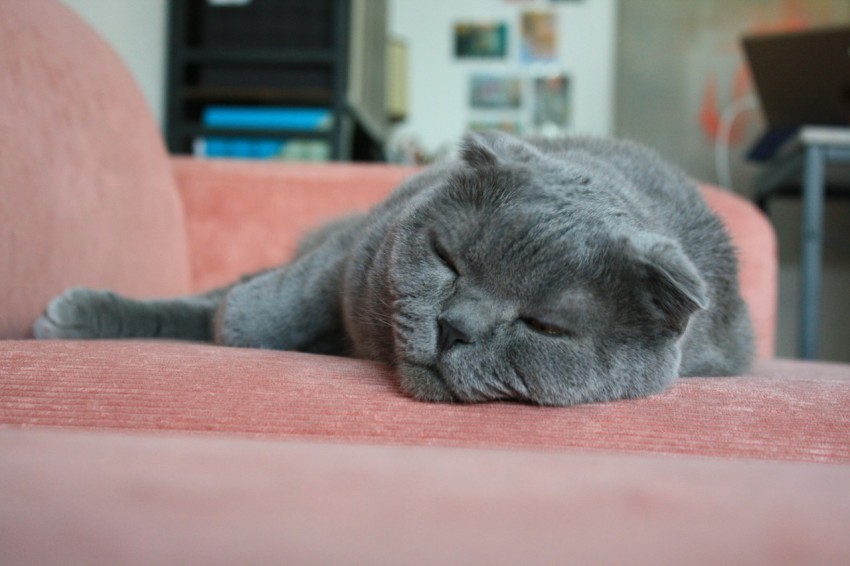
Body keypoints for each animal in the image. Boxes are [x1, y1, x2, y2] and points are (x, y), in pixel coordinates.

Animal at [33, 132, 752, 408]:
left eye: (545, 327)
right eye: (448, 261)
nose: (455, 326)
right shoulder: (359, 245)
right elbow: (259, 312)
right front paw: (237, 326)